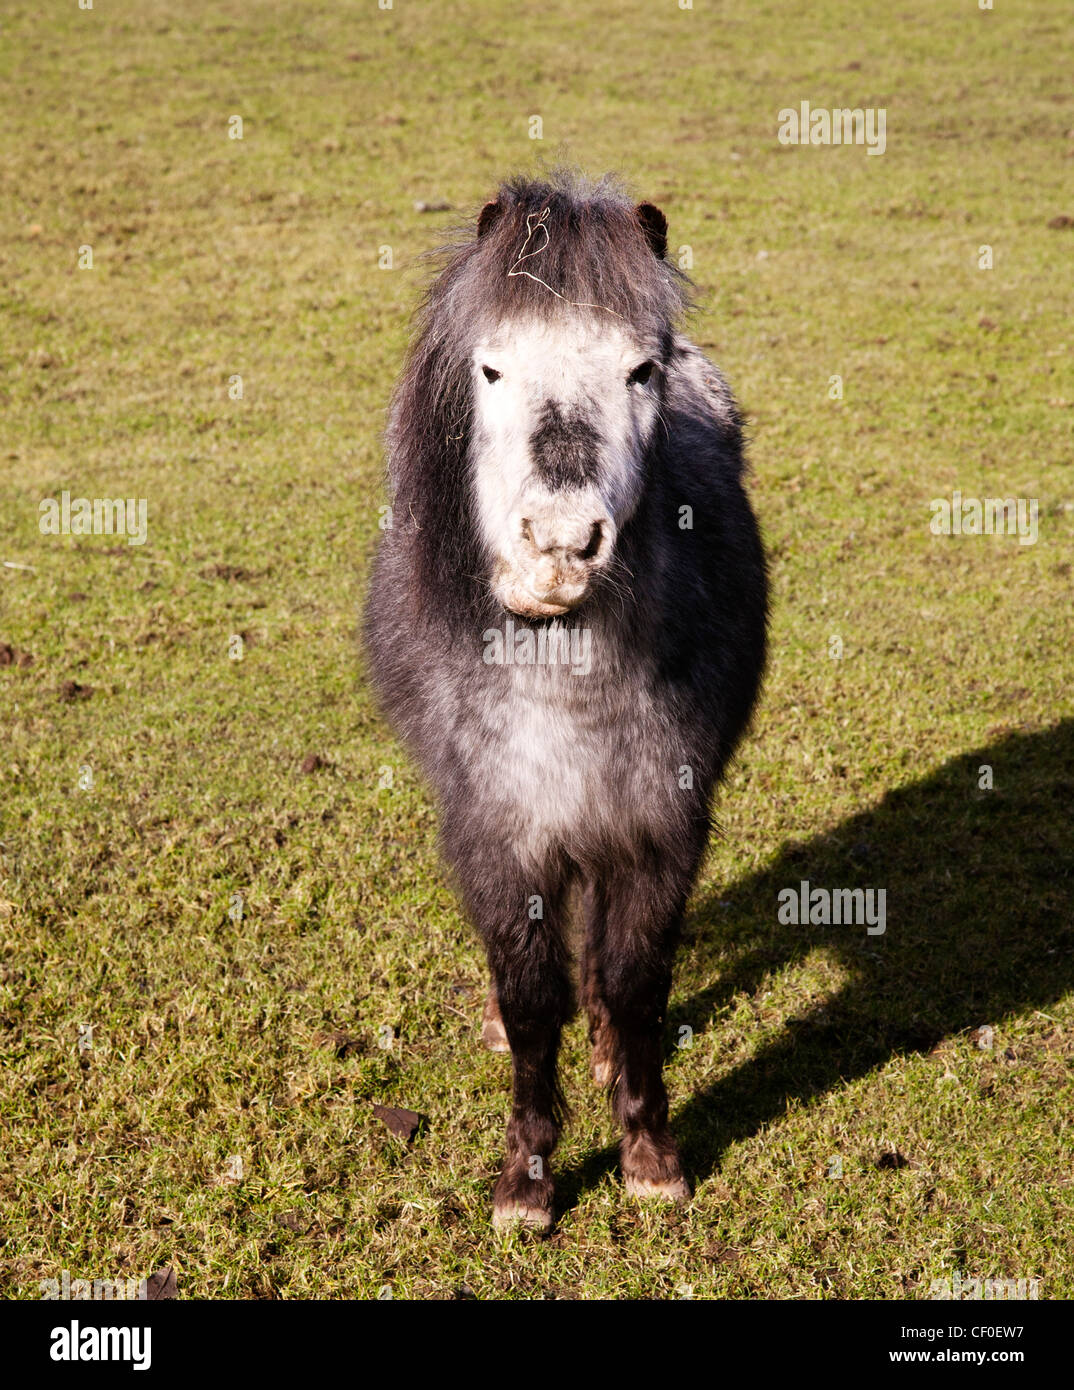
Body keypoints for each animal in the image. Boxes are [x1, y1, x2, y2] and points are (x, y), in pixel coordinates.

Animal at [364, 171, 768, 1230]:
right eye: (490, 370)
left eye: (640, 371)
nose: (557, 545)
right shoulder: (500, 836)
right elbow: (528, 998)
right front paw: (528, 1182)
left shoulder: (660, 828)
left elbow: (633, 987)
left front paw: (650, 1156)